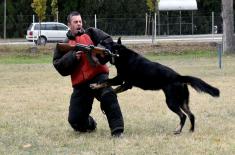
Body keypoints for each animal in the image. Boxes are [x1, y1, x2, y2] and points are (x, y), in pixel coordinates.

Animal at [91, 38, 219, 134]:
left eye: (106, 43)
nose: (98, 42)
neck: (120, 55)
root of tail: (179, 77)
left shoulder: (121, 81)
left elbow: (106, 81)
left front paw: (94, 85)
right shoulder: (125, 84)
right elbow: (114, 89)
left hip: (171, 102)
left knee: (183, 116)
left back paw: (178, 130)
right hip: (183, 101)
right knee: (192, 115)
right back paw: (191, 130)